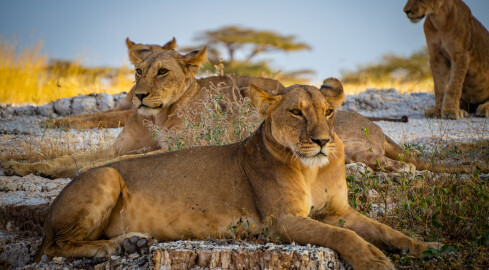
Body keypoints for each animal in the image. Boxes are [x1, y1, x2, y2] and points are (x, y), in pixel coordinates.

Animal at [34, 82, 438, 270]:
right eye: (295, 112)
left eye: (328, 112)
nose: (323, 141)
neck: (313, 169)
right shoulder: (281, 221)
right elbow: (342, 236)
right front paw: (374, 260)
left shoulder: (339, 210)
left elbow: (386, 230)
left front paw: (426, 248)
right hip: (106, 176)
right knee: (56, 247)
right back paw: (115, 247)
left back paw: (132, 243)